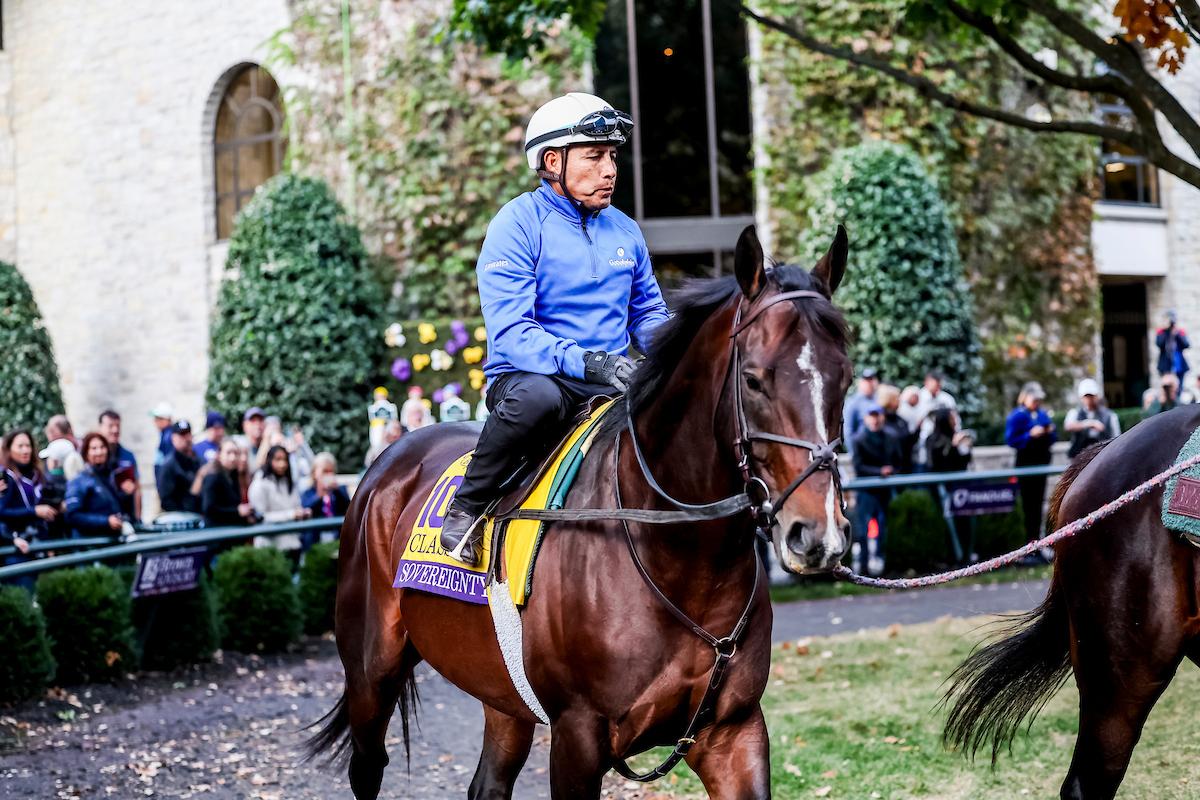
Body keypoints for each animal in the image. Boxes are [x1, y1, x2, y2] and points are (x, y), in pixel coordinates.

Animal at [305, 225, 854, 799]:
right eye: (753, 379)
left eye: (845, 376)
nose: (818, 535)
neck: (676, 560)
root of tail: (386, 463)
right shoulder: (577, 737)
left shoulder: (734, 732)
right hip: (371, 674)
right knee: (368, 763)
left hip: (504, 697)